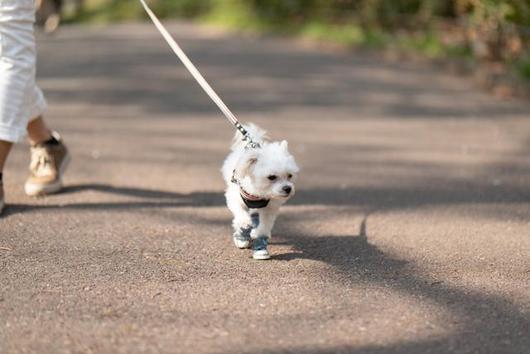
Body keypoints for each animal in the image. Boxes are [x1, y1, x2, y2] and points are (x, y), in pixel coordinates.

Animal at [221, 124, 300, 260]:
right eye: (271, 177)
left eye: (290, 176)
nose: (288, 188)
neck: (258, 193)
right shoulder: (234, 198)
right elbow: (240, 213)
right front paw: (244, 223)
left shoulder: (269, 209)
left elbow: (264, 226)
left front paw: (258, 236)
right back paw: (242, 236)